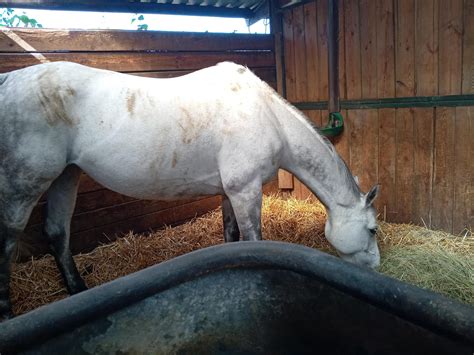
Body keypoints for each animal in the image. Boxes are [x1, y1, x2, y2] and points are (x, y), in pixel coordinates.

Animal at [0, 62, 382, 320]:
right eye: (373, 230)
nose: (376, 269)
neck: (268, 117)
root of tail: (8, 81)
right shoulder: (245, 191)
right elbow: (254, 240)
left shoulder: (230, 192)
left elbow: (231, 239)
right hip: (25, 184)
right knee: (8, 241)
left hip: (66, 176)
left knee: (57, 233)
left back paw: (79, 294)